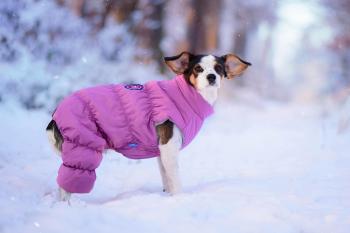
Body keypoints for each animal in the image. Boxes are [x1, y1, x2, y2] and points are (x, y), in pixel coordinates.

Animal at [46, 52, 250, 201]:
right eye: (198, 68)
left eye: (219, 68)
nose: (211, 77)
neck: (184, 95)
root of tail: (56, 113)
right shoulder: (169, 147)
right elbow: (176, 180)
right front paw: (180, 199)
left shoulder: (161, 152)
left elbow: (167, 179)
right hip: (84, 149)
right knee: (66, 184)